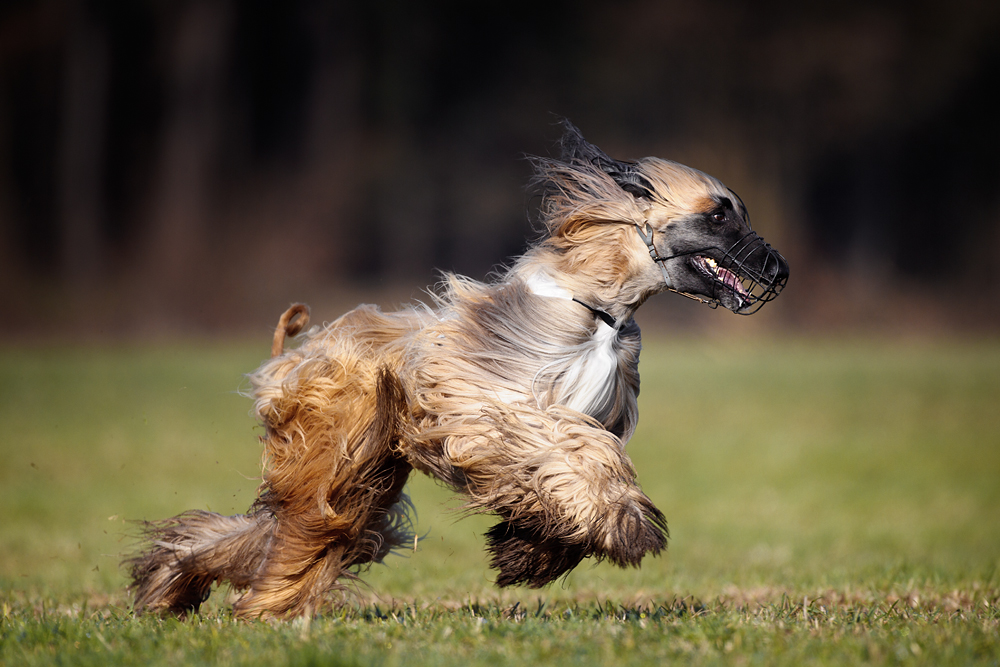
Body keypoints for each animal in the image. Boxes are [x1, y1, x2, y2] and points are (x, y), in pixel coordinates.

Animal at [125, 121, 788, 620]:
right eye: (721, 216)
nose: (779, 269)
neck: (601, 308)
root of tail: (296, 352)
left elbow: (564, 477)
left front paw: (530, 552)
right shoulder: (493, 408)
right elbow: (579, 458)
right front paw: (623, 524)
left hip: (368, 472)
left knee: (285, 532)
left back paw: (172, 584)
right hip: (338, 448)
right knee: (313, 523)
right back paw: (263, 609)